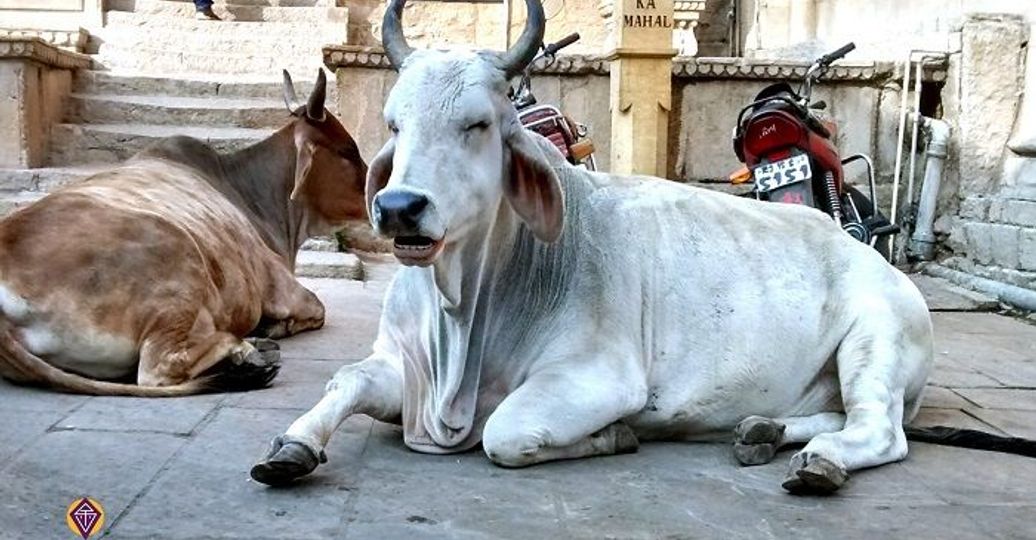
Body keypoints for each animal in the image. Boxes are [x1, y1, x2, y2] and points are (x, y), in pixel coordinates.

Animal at [0, 70, 367, 397]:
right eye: (348, 151)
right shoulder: (281, 286)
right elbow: (318, 309)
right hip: (177, 259)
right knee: (158, 369)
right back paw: (246, 349)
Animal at [250, 1, 934, 494]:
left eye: (477, 124)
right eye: (395, 123)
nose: (398, 209)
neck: (462, 310)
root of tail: (873, 260)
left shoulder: (598, 378)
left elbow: (505, 433)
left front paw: (618, 436)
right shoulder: (401, 367)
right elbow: (345, 382)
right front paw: (291, 445)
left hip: (875, 338)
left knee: (878, 431)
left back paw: (820, 462)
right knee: (837, 416)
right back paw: (763, 430)